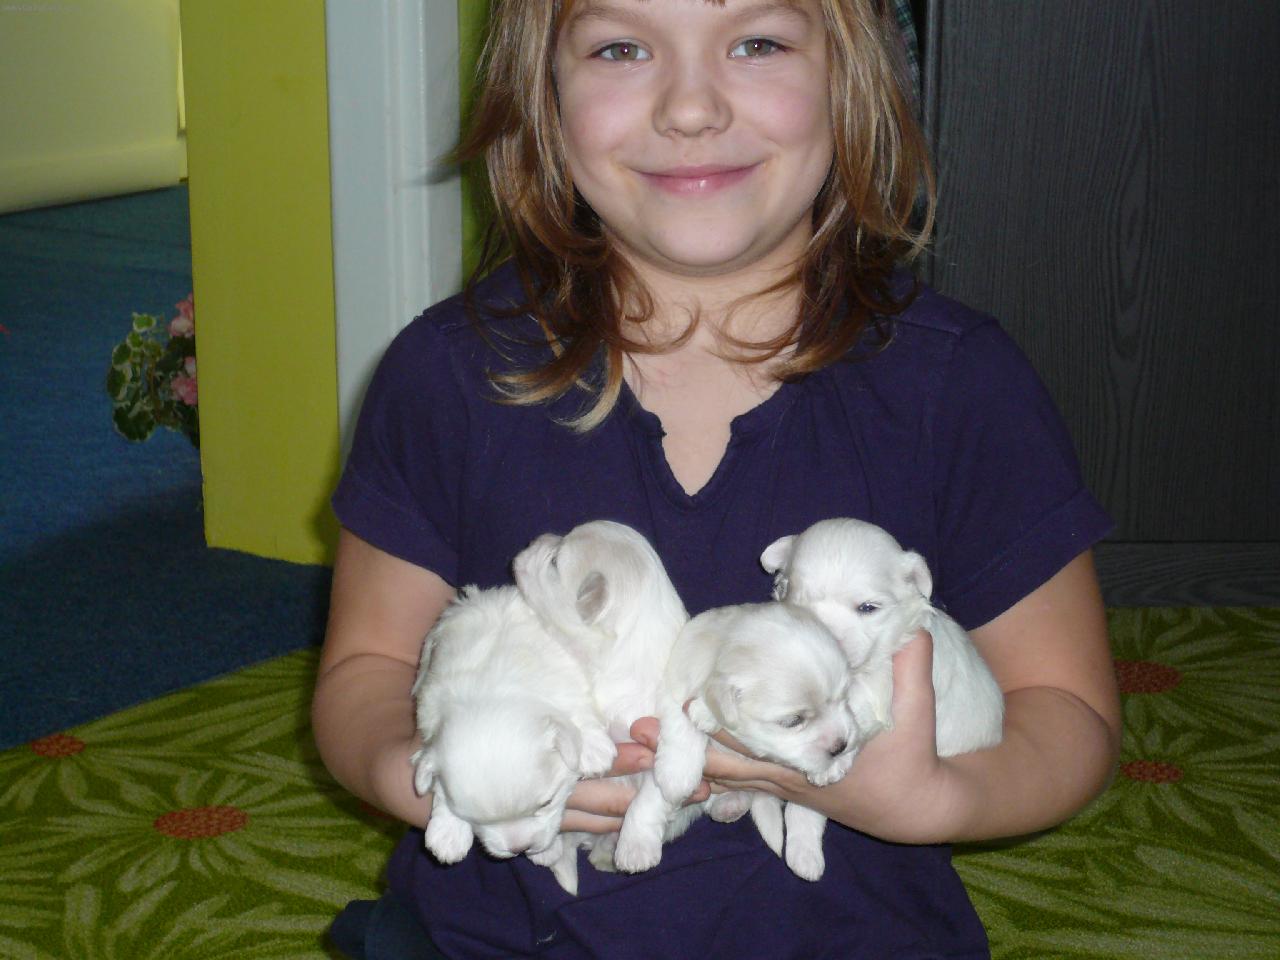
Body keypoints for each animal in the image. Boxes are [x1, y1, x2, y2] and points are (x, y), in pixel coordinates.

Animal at [409, 584, 617, 876]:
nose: (519, 849)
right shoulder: (431, 712)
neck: (488, 697)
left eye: (546, 803)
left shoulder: (565, 675)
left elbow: (575, 706)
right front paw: (448, 832)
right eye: (474, 818)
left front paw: (592, 748)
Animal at [628, 601, 859, 880]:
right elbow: (681, 727)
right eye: (792, 721)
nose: (841, 746)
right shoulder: (676, 686)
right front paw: (677, 776)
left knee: (806, 809)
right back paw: (729, 804)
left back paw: (805, 855)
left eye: (845, 696)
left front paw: (837, 764)